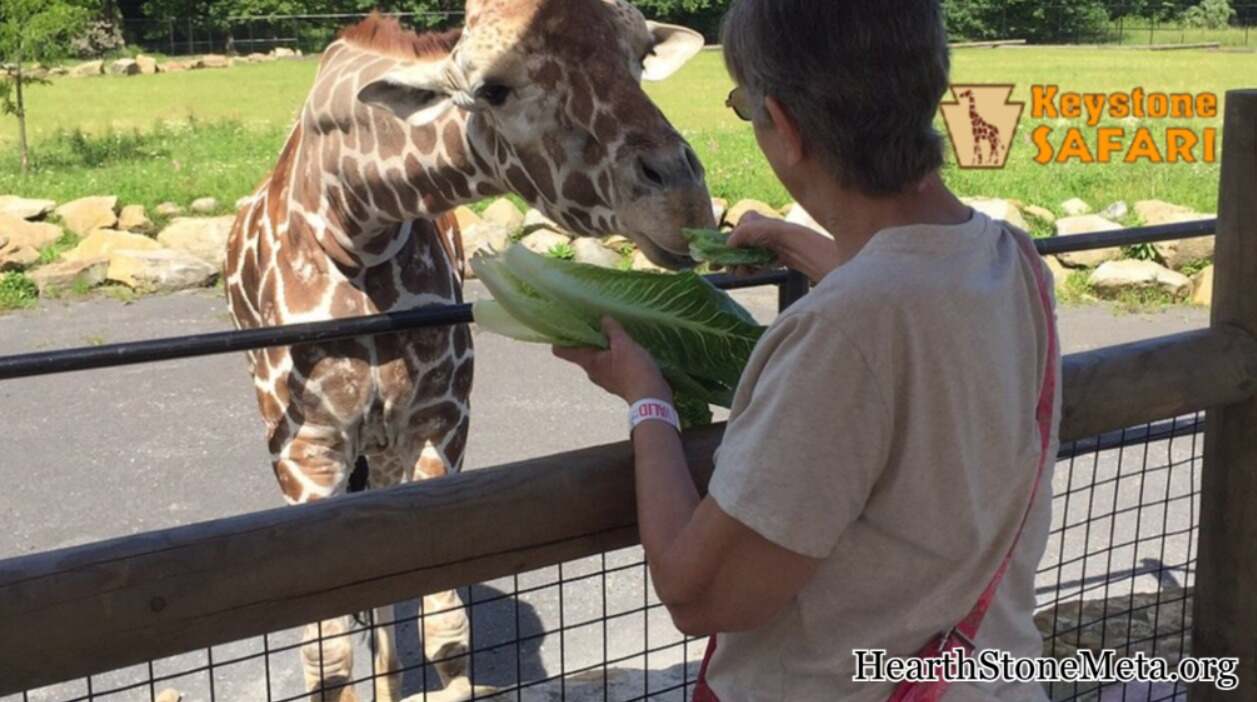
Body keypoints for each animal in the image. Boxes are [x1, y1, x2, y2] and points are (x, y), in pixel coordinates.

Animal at [223, 2, 719, 699]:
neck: (354, 224)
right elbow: (327, 660)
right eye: (492, 89)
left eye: (640, 59)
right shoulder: (305, 448)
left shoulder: (439, 420)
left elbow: (446, 632)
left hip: (386, 447)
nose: (683, 200)